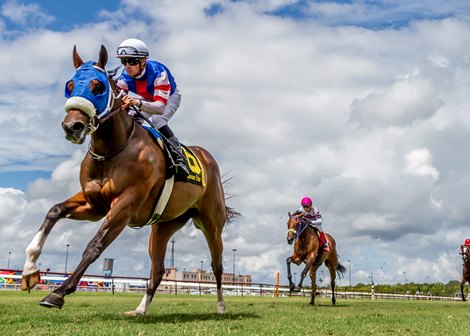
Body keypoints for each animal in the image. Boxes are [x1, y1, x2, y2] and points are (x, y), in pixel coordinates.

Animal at [21, 46, 239, 316]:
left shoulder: (124, 206)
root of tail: (207, 157)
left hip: (211, 223)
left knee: (217, 265)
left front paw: (58, 292)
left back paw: (220, 306)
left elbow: (94, 246)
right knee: (157, 270)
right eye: (70, 85)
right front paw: (29, 271)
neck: (112, 150)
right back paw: (140, 310)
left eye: (98, 86)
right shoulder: (94, 204)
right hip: (163, 226)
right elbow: (54, 211)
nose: (72, 126)